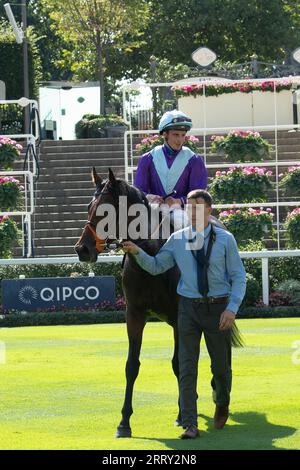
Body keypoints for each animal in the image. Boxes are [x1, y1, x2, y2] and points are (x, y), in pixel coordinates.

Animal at [75, 168, 244, 436]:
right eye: (89, 207)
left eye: (105, 210)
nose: (83, 249)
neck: (153, 254)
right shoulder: (134, 315)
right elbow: (132, 365)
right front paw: (124, 422)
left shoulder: (178, 318)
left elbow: (179, 363)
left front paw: (182, 414)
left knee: (220, 349)